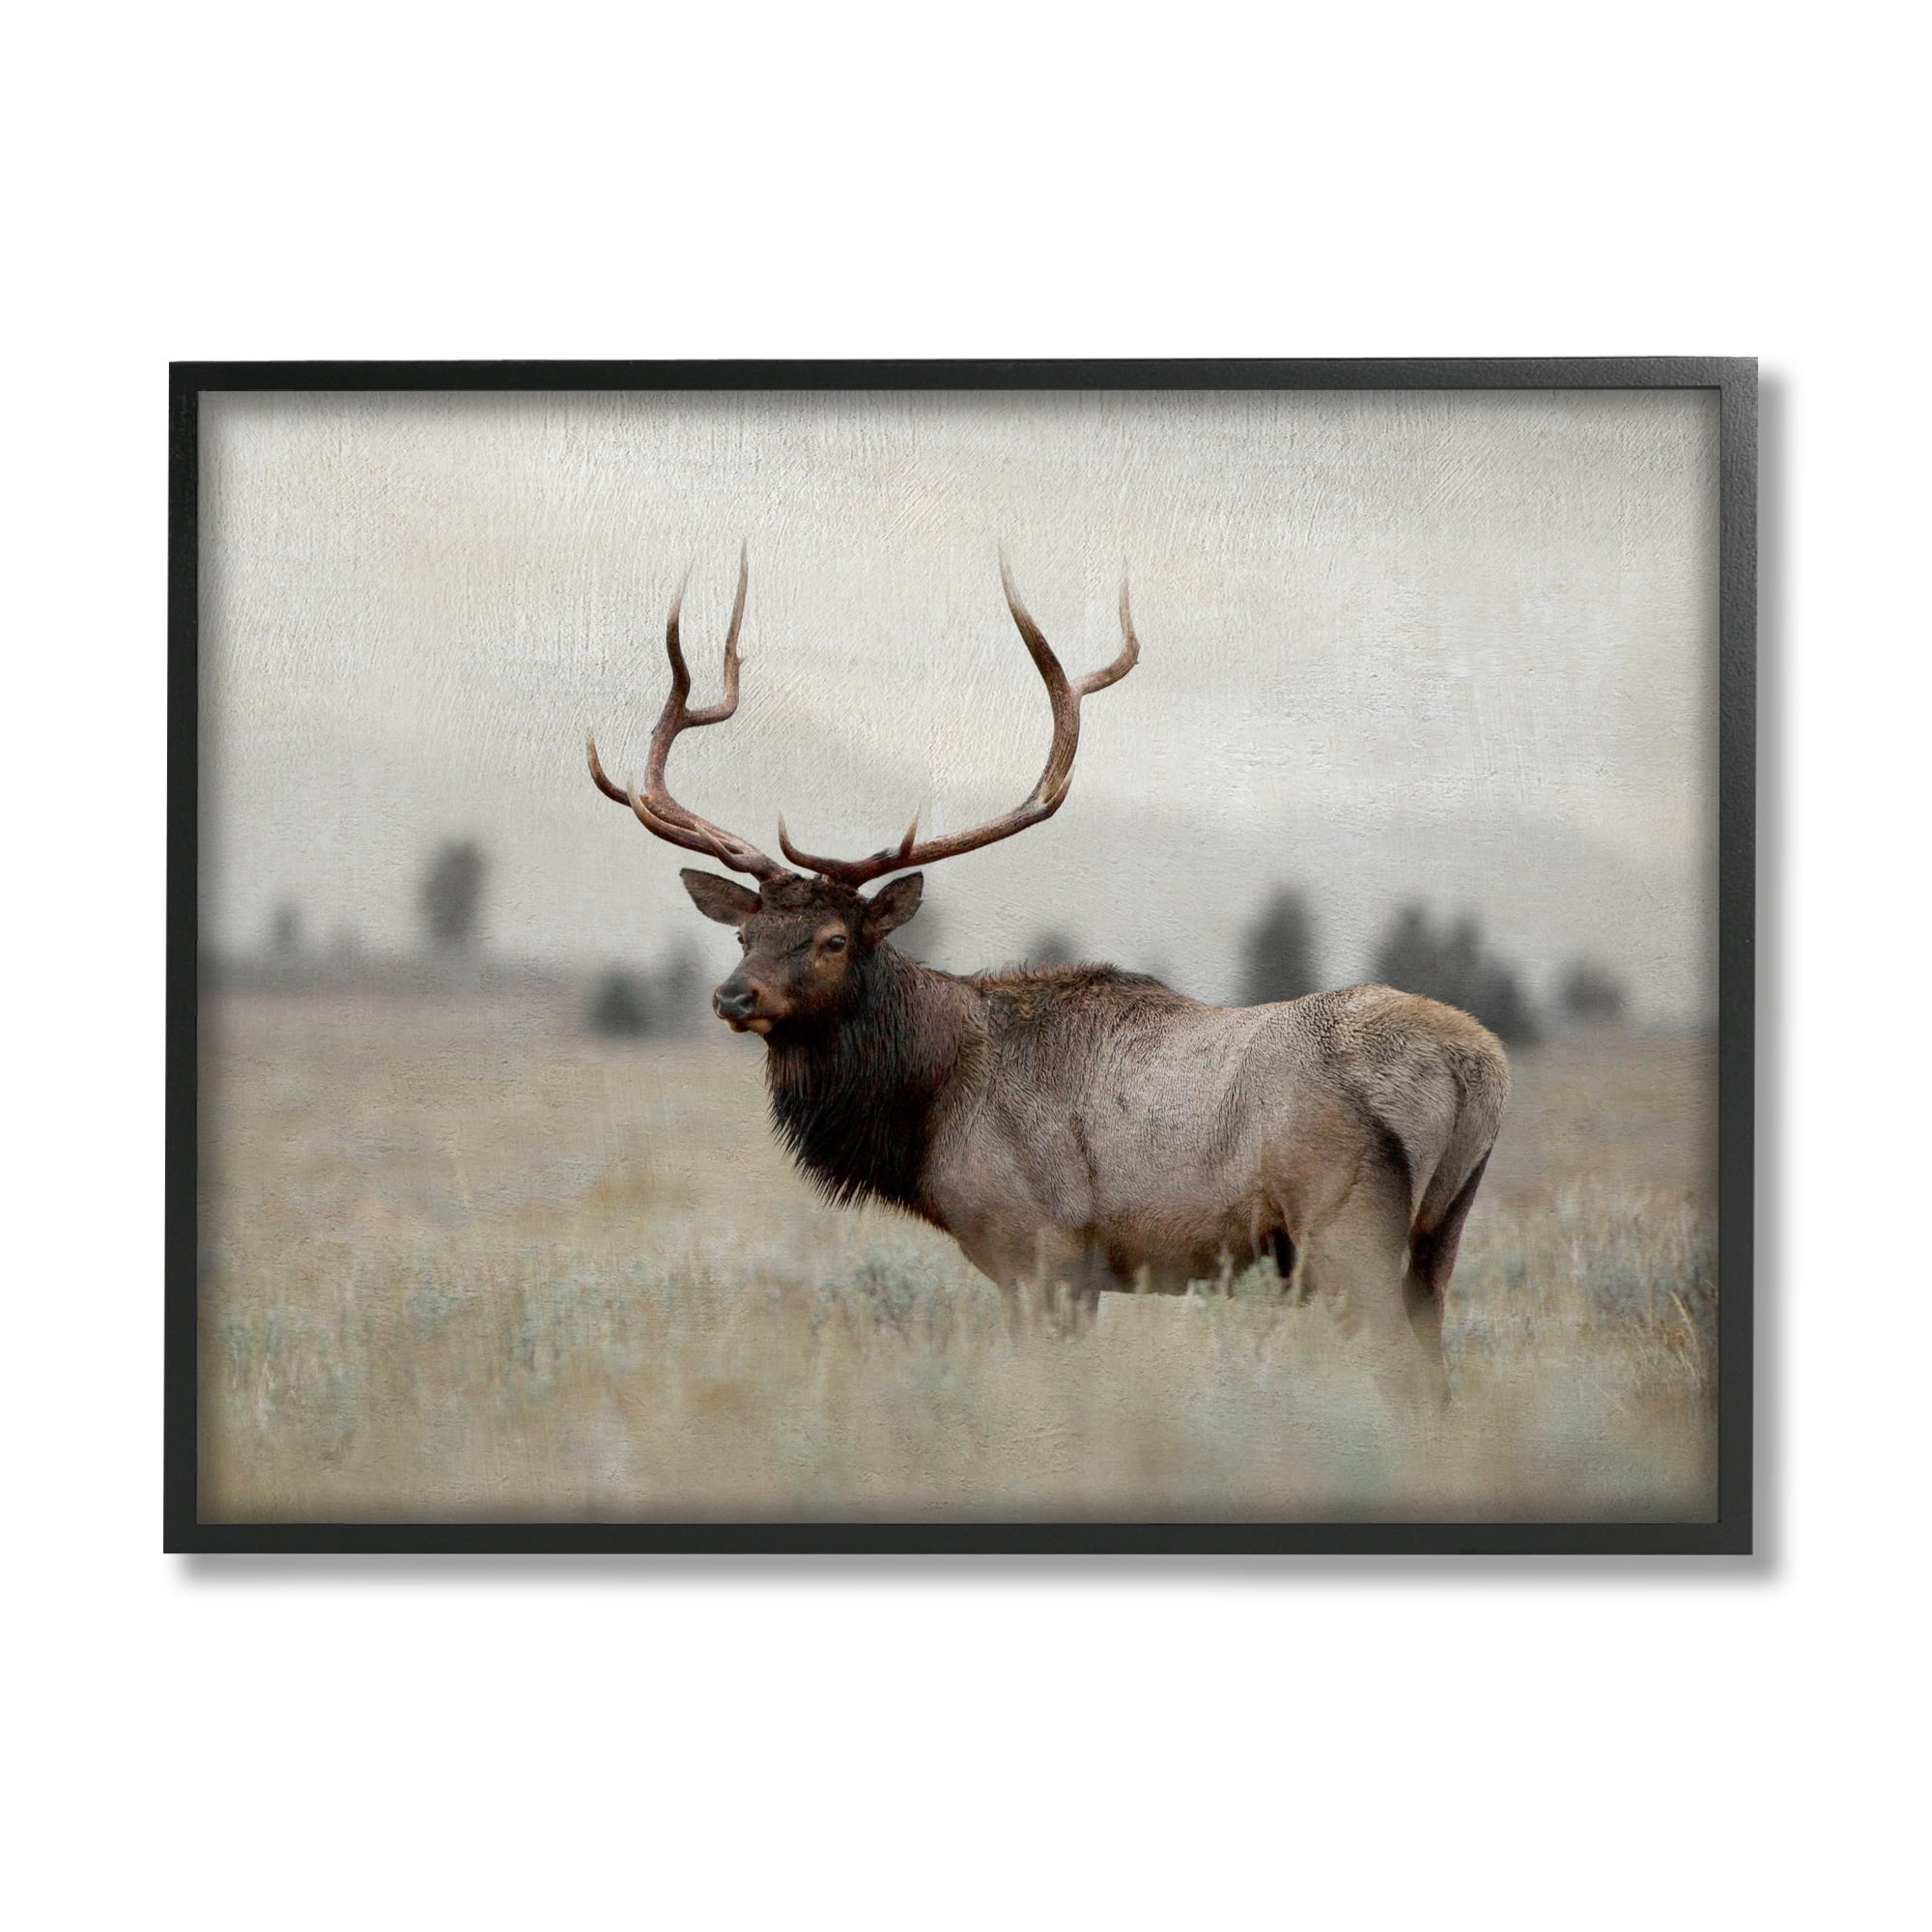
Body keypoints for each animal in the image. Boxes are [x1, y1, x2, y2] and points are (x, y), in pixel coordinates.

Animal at [588, 553, 1509, 1397]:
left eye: (833, 939)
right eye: (745, 933)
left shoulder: (1040, 1247)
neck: (930, 1103)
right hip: (1440, 1235)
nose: (732, 995)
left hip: (1346, 1230)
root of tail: (1475, 1067)